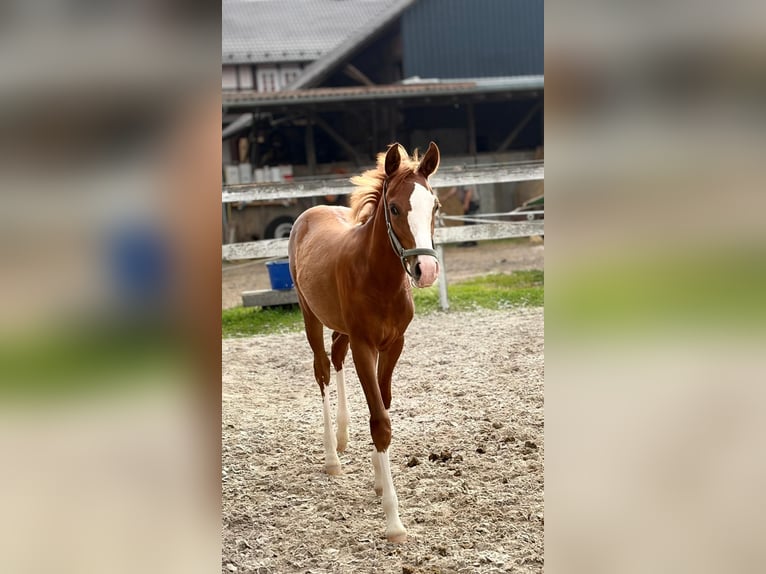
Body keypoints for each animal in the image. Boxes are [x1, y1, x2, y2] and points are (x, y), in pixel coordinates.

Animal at [287, 142, 442, 543]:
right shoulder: (365, 345)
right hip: (310, 315)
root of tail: (312, 211)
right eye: (394, 208)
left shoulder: (394, 344)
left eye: (434, 206)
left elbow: (383, 405)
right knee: (322, 370)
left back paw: (343, 437)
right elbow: (380, 422)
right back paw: (332, 456)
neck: (378, 277)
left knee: (336, 355)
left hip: (340, 326)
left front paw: (378, 480)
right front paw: (393, 521)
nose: (426, 271)